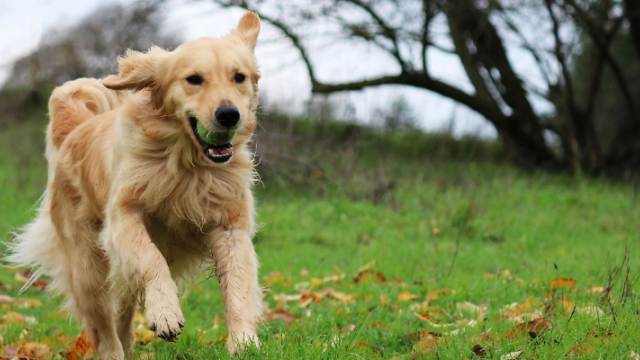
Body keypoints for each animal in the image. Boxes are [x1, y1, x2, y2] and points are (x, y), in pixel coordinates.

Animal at [7, 12, 262, 358]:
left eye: (239, 77)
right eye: (194, 79)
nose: (229, 114)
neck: (187, 165)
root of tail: (75, 130)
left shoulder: (230, 226)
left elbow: (238, 284)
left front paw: (244, 342)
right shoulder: (123, 218)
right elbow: (152, 259)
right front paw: (165, 312)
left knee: (123, 308)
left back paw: (127, 340)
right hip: (87, 265)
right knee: (101, 324)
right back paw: (113, 351)